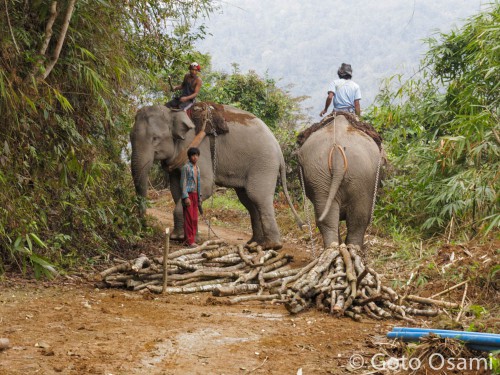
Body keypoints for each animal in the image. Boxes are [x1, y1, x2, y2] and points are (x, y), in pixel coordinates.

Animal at [130, 104, 300, 250]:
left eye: (155, 139)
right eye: (130, 138)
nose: (143, 225)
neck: (173, 112)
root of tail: (279, 150)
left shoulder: (198, 149)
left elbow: (206, 186)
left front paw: (177, 238)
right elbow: (177, 190)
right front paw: (183, 238)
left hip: (264, 164)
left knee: (258, 196)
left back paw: (271, 246)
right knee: (248, 200)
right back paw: (253, 243)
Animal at [296, 113, 382, 251]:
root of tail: (337, 149)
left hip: (322, 174)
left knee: (334, 217)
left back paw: (336, 248)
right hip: (354, 174)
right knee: (358, 219)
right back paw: (351, 249)